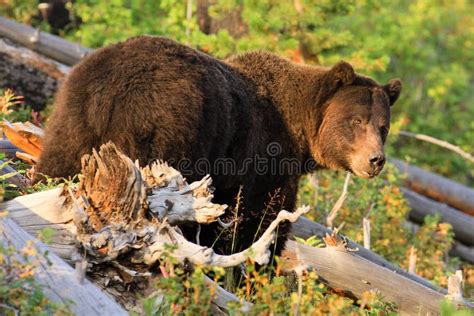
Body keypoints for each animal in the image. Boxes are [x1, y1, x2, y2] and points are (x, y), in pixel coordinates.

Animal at [36, 35, 400, 256]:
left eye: (383, 126)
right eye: (356, 121)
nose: (375, 160)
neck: (301, 136)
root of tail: (110, 84)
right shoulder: (264, 157)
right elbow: (259, 220)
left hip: (74, 114)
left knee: (57, 162)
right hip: (165, 128)